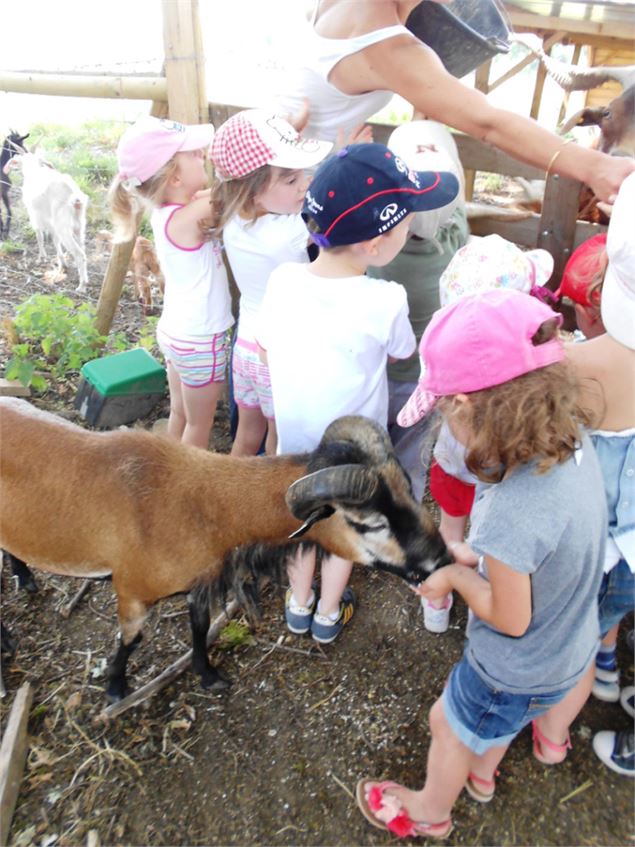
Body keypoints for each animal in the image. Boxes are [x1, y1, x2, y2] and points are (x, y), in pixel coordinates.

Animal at [0, 400, 450, 704]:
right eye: (369, 523)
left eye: (409, 491)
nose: (442, 558)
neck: (199, 502)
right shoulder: (132, 589)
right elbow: (131, 638)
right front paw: (116, 688)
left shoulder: (199, 582)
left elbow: (199, 627)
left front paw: (208, 676)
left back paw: (25, 577)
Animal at [3, 147, 89, 290]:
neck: (33, 170)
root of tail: (74, 196)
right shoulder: (51, 222)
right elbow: (55, 240)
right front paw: (62, 264)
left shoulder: (34, 215)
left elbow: (40, 236)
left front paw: (42, 258)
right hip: (79, 225)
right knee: (82, 248)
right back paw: (85, 278)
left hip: (63, 226)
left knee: (79, 254)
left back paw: (81, 287)